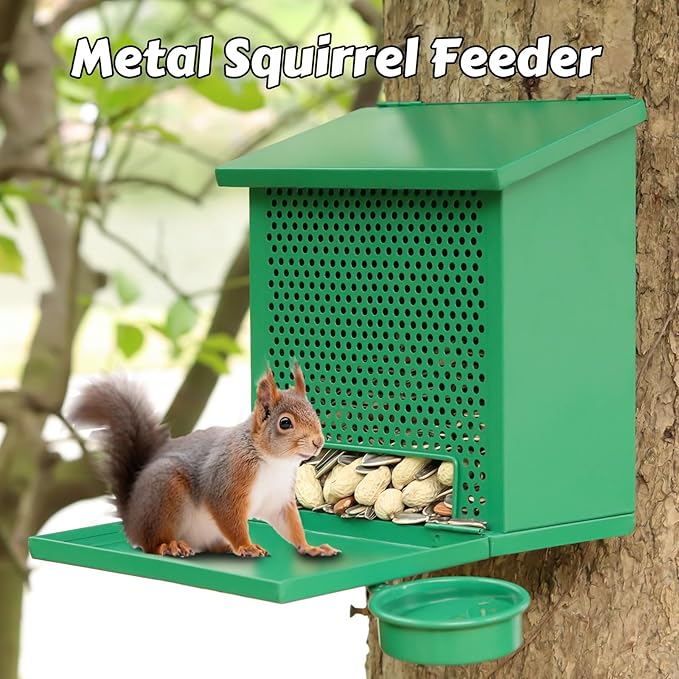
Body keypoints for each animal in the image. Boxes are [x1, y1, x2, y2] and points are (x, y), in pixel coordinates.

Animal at [67, 365, 340, 559]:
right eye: (285, 423)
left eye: (314, 412)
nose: (318, 442)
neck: (273, 462)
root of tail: (131, 518)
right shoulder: (225, 484)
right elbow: (231, 520)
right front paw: (247, 546)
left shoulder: (279, 499)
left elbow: (291, 526)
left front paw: (310, 547)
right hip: (167, 495)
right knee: (151, 543)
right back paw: (171, 545)